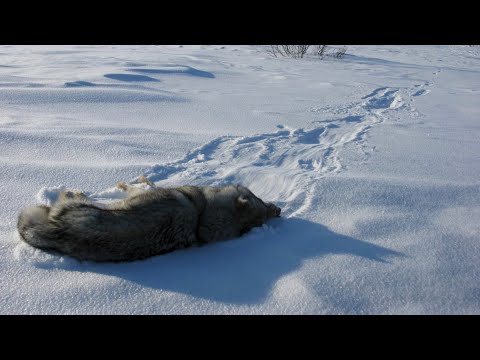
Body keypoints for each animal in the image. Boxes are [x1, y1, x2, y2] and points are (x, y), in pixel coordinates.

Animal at [16, 179, 282, 262]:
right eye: (259, 196)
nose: (277, 208)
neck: (201, 216)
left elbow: (139, 187)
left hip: (78, 207)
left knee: (68, 197)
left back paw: (69, 193)